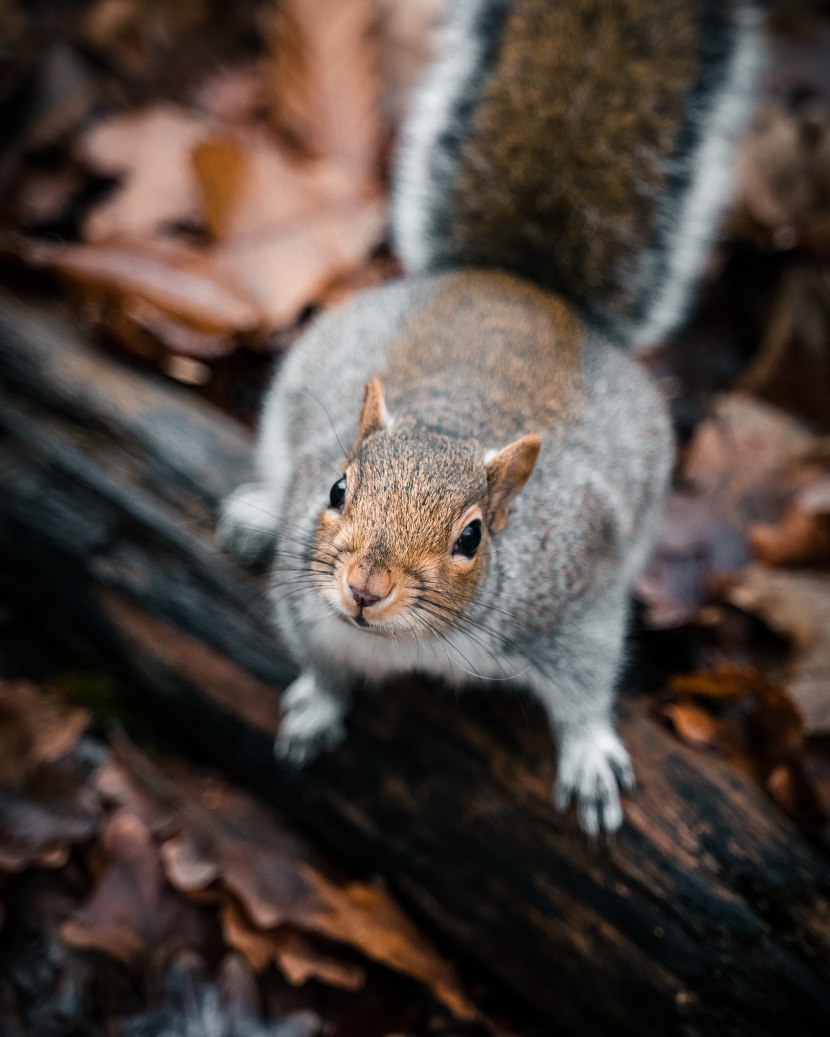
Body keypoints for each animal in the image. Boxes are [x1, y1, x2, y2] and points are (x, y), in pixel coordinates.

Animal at [219, 0, 763, 829]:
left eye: (471, 537)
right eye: (336, 491)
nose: (365, 588)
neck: (412, 640)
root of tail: (520, 284)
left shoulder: (572, 600)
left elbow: (588, 684)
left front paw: (590, 755)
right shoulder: (302, 597)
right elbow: (322, 661)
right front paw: (317, 705)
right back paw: (255, 511)